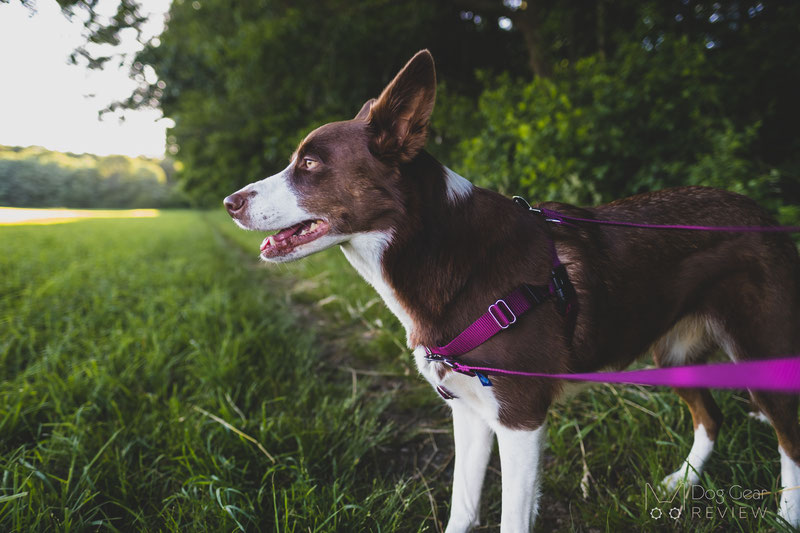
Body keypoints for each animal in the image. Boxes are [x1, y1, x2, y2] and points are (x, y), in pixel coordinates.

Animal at [223, 51, 800, 532]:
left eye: (310, 165)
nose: (230, 202)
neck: (436, 249)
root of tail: (766, 216)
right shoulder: (469, 412)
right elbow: (462, 507)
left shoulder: (521, 419)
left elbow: (512, 519)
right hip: (674, 353)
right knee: (713, 418)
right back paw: (683, 483)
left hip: (762, 350)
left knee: (789, 436)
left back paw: (785, 519)